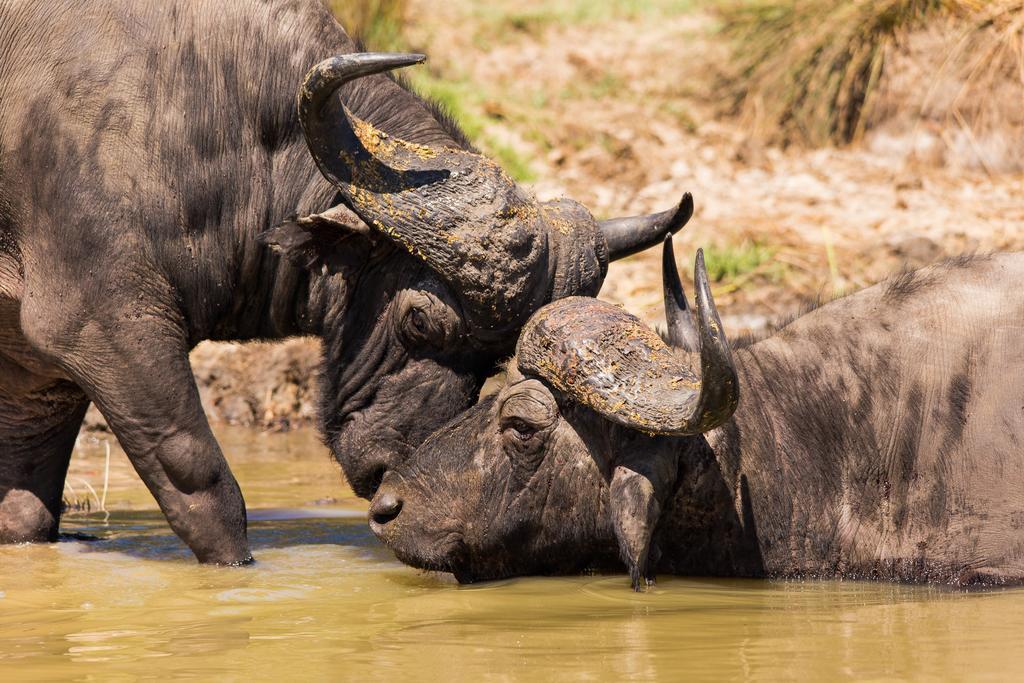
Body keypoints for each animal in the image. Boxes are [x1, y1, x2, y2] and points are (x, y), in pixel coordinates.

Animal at [2, 0, 688, 565]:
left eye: (500, 353)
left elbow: (26, 513)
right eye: (419, 319)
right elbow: (203, 485)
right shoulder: (103, 329)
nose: (391, 466)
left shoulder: (37, 378)